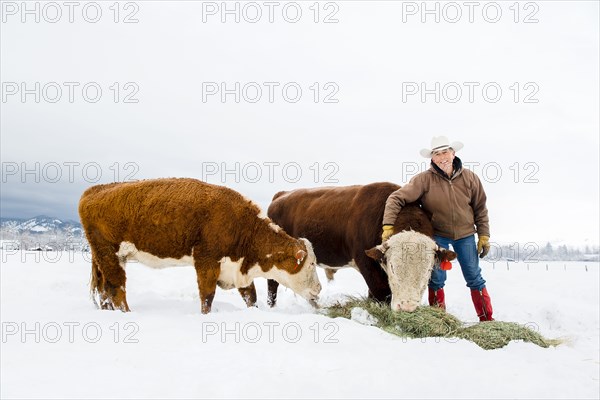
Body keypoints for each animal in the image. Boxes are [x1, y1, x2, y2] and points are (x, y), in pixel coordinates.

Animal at [81, 177, 324, 312]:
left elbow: (251, 296)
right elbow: (207, 296)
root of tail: (93, 190)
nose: (319, 289)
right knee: (116, 289)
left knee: (104, 290)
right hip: (110, 256)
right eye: (311, 264)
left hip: (106, 258)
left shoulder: (237, 268)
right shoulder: (207, 261)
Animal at [262, 183, 454, 310]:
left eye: (429, 269)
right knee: (272, 283)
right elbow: (381, 292)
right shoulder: (366, 262)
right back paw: (272, 307)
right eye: (392, 266)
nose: (406, 306)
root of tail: (281, 195)